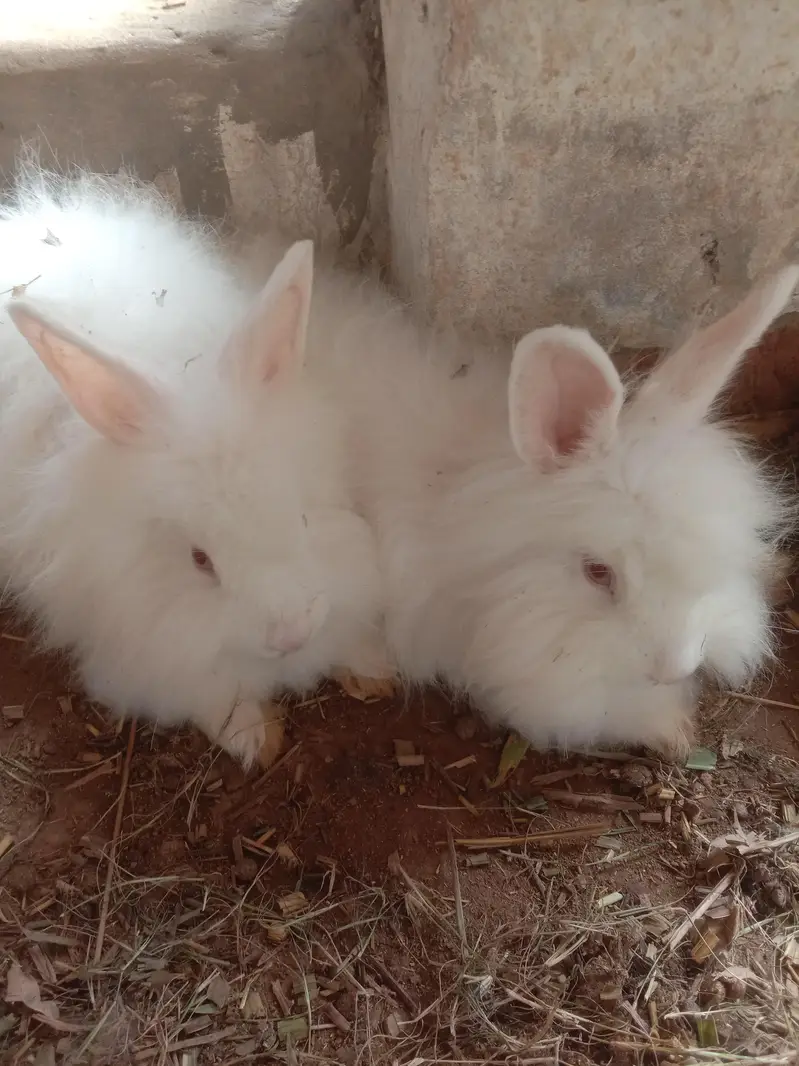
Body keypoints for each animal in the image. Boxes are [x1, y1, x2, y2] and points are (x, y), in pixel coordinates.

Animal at [0, 164, 385, 768]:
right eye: (200, 561)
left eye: (301, 518)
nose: (292, 634)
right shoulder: (147, 641)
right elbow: (205, 690)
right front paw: (252, 737)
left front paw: (371, 666)